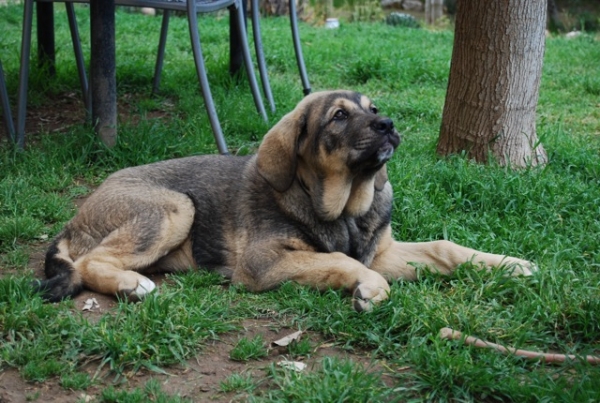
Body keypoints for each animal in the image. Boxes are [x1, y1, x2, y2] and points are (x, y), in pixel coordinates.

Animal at [35, 90, 536, 312]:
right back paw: (130, 284)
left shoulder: (383, 250)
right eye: (339, 116)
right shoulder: (263, 262)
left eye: (373, 109)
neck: (347, 208)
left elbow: (444, 248)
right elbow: (340, 260)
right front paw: (370, 288)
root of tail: (78, 215)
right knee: (89, 263)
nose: (389, 124)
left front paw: (510, 264)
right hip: (175, 207)